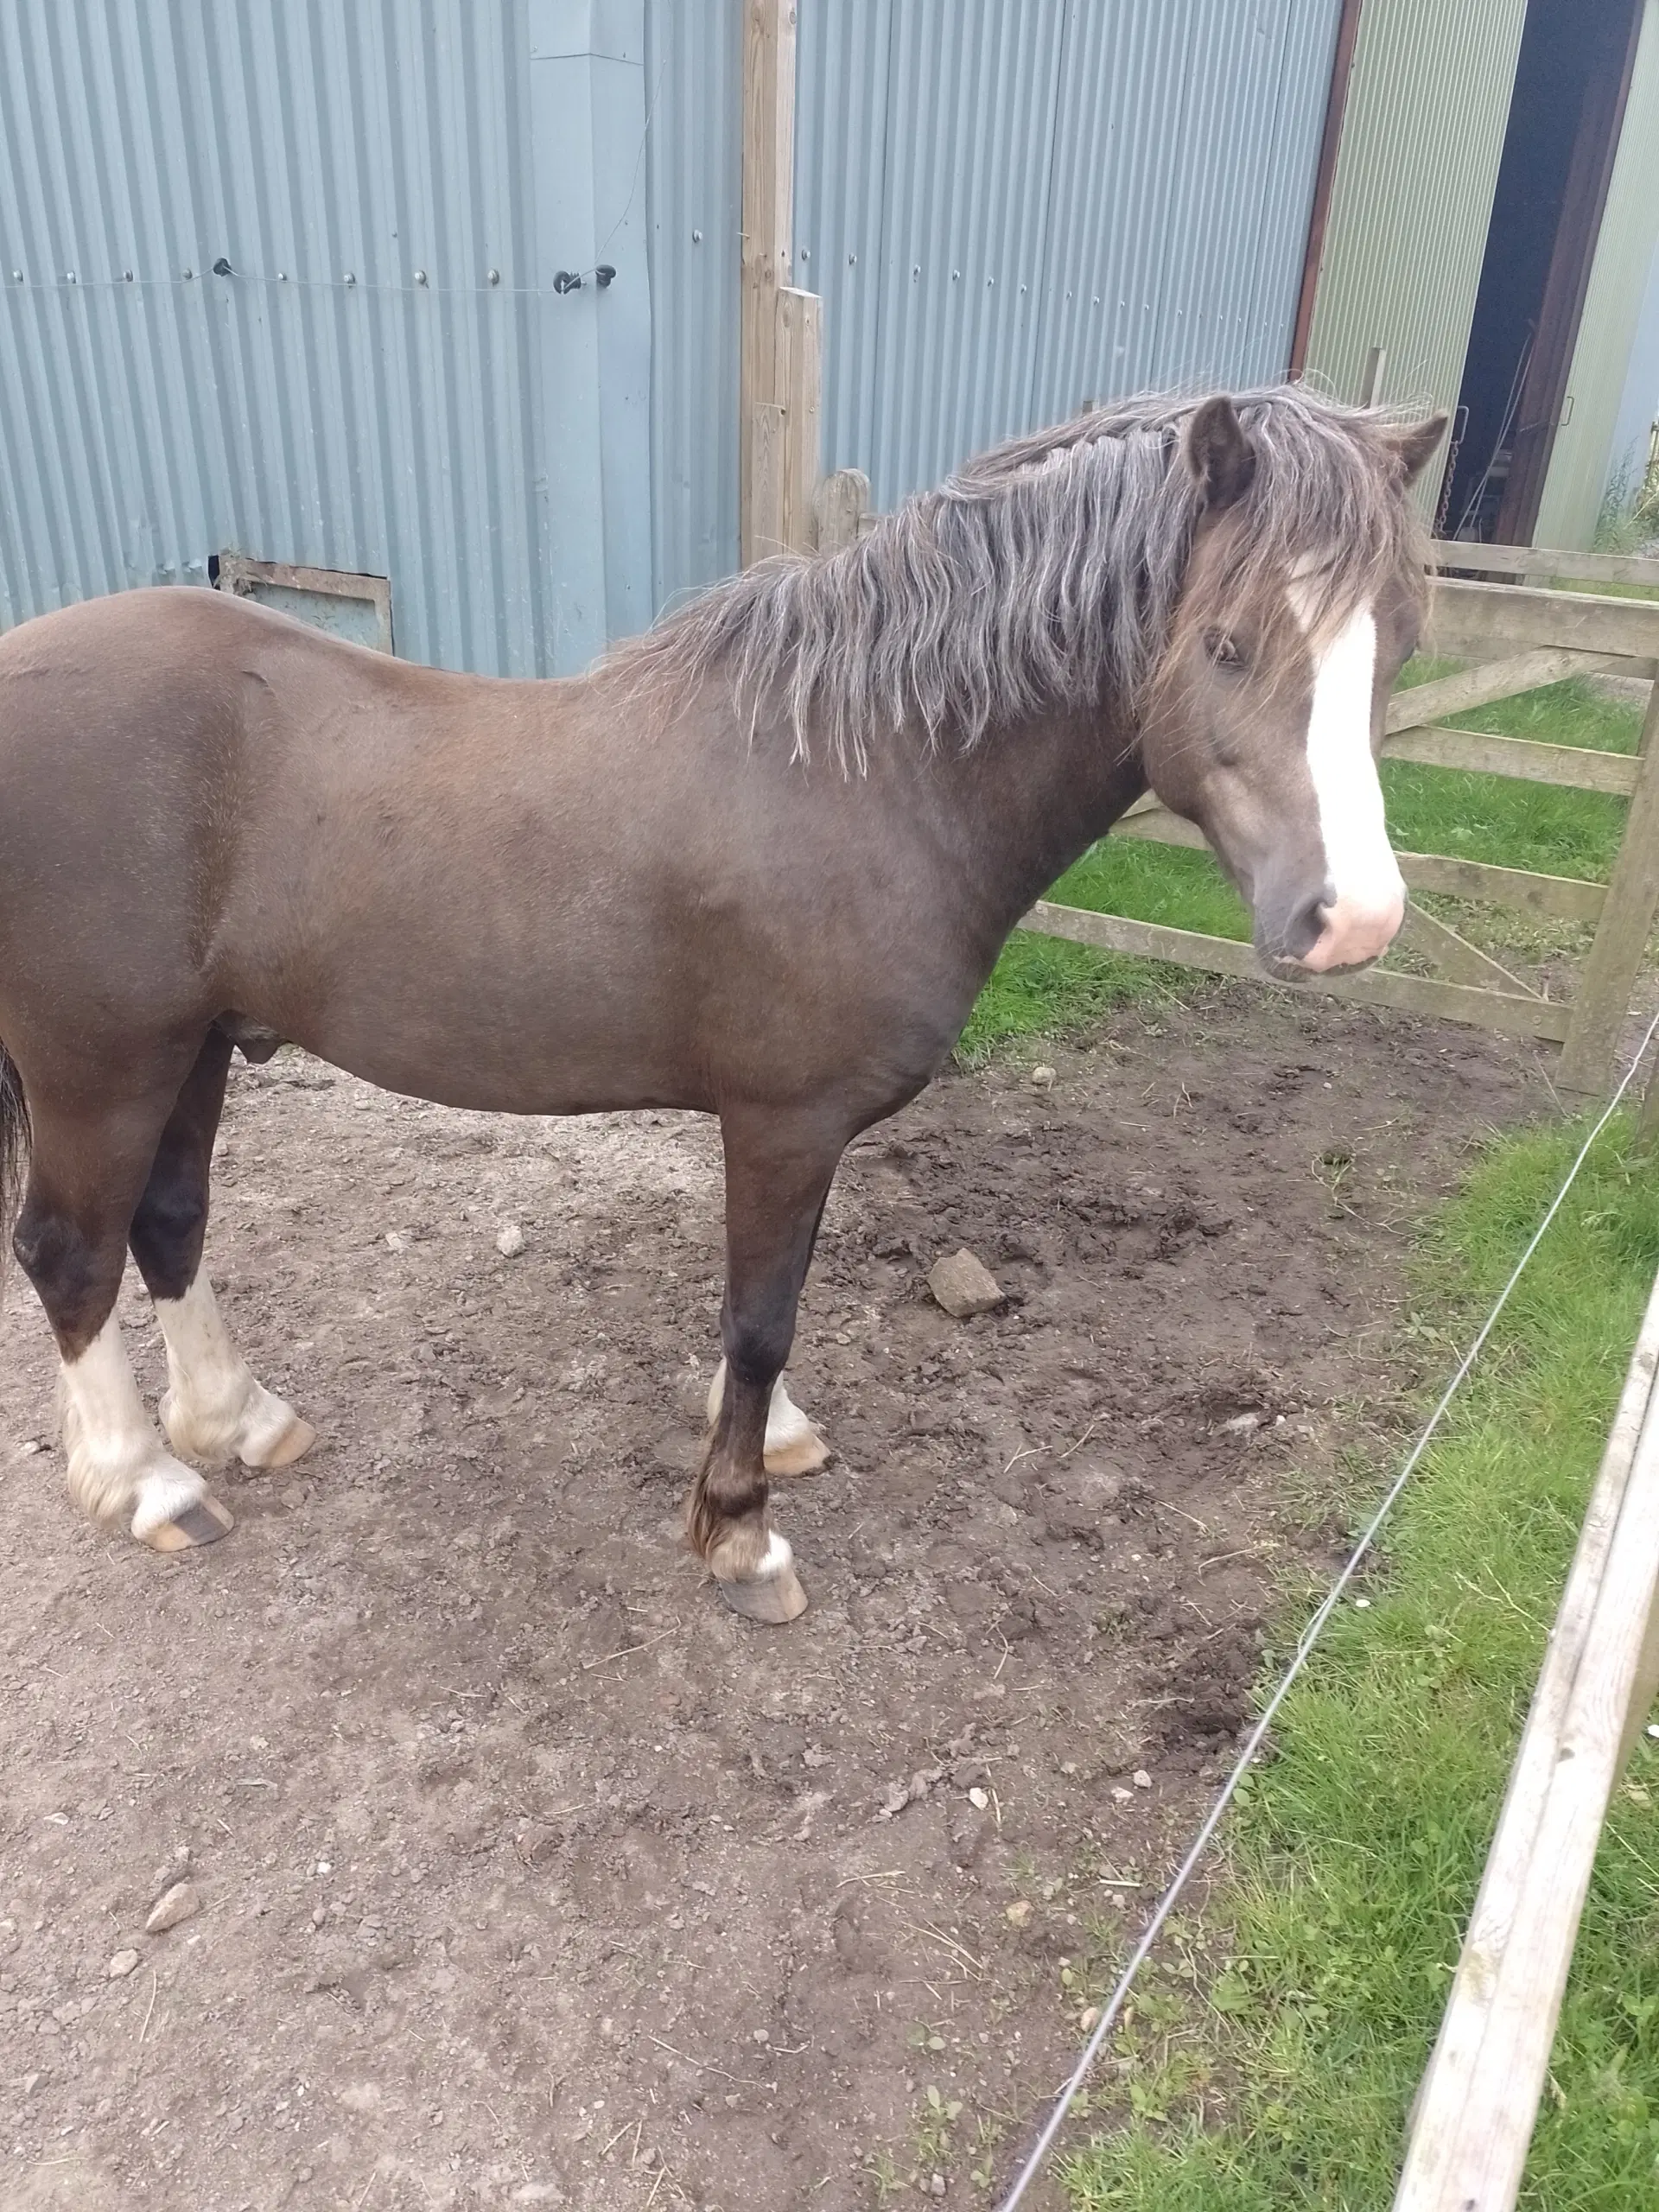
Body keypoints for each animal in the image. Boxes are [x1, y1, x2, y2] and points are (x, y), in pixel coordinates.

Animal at [0, 385, 1451, 1628]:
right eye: (1228, 644)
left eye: (1395, 640)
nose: (1356, 919)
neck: (871, 775)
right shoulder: (782, 1122)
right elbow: (760, 1320)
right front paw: (739, 1530)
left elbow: (766, 1311)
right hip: (100, 1062)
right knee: (70, 1251)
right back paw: (147, 1481)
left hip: (191, 1046)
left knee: (168, 1223)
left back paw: (236, 1421)